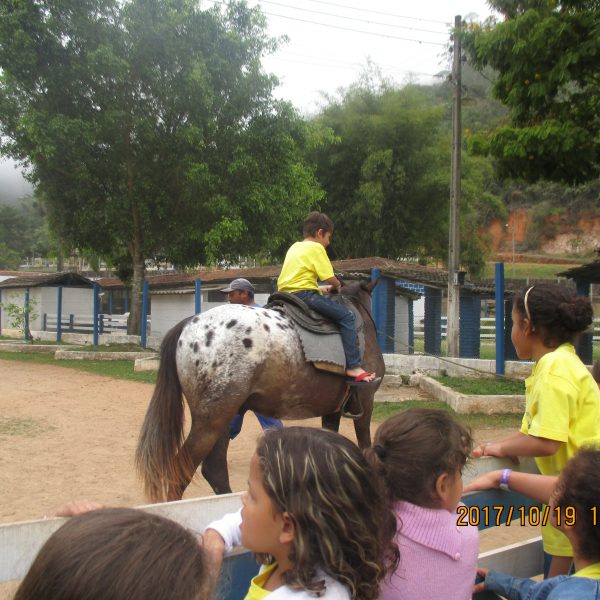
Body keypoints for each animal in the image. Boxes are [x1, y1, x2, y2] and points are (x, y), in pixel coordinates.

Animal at [135, 279, 383, 502]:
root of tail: (189, 324)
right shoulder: (366, 402)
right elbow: (365, 446)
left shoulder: (332, 410)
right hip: (211, 419)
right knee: (181, 470)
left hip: (224, 415)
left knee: (214, 469)